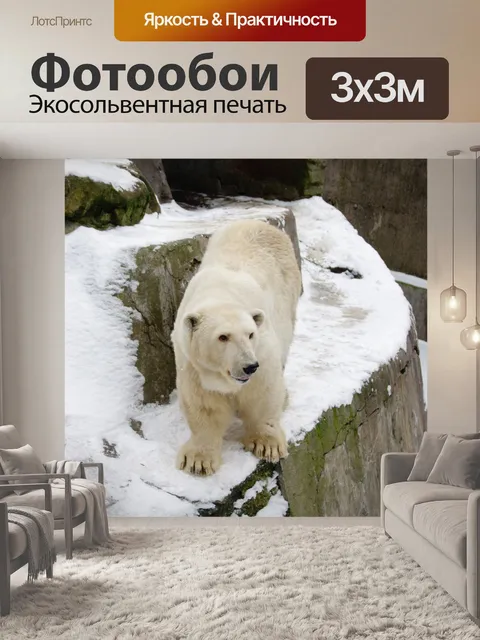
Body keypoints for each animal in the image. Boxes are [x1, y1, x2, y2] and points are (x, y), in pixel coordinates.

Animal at [171, 218, 302, 476]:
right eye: (223, 337)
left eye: (250, 334)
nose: (249, 366)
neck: (220, 295)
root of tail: (260, 222)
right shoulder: (193, 364)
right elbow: (204, 404)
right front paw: (198, 460)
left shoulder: (263, 350)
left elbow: (263, 391)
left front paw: (266, 445)